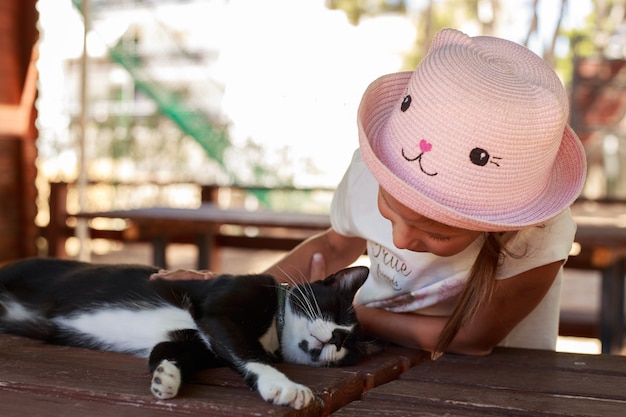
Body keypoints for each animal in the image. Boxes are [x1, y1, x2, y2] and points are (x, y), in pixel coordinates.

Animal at [0, 258, 376, 408]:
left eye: (350, 347)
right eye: (337, 311)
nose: (338, 338)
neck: (275, 330)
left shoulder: (192, 339)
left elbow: (167, 350)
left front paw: (166, 375)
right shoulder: (220, 312)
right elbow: (250, 352)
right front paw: (285, 386)